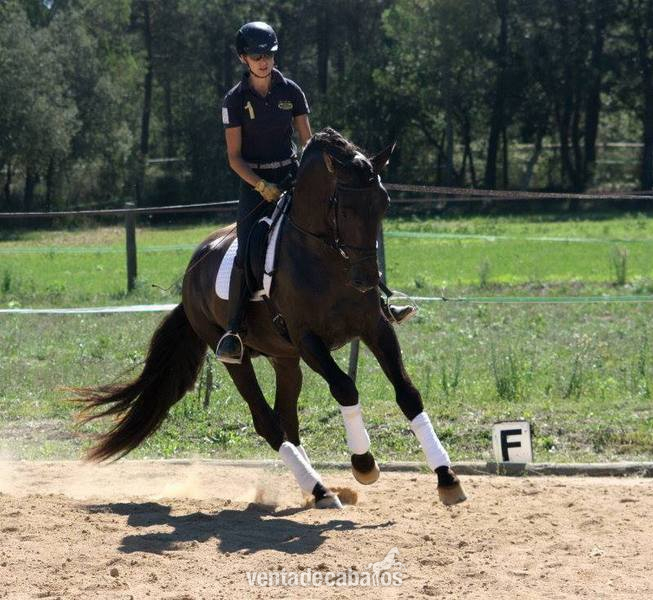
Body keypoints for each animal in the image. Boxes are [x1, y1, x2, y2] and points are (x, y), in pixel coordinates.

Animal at [71, 128, 466, 509]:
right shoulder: (308, 340)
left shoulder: (375, 327)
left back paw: (317, 490)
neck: (325, 258)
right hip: (233, 354)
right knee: (267, 421)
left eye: (383, 204)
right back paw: (319, 489)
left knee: (287, 419)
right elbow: (344, 387)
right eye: (345, 208)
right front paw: (364, 464)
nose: (368, 279)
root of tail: (191, 273)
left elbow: (408, 393)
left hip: (284, 358)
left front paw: (447, 478)